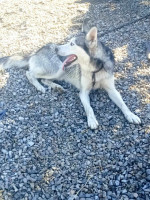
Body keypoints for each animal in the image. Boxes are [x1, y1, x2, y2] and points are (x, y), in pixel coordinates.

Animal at [0, 22, 141, 129]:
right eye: (69, 42)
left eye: (72, 44)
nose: (56, 49)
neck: (94, 70)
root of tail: (36, 52)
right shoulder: (83, 92)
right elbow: (89, 108)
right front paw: (92, 120)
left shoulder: (112, 90)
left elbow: (123, 104)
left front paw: (131, 115)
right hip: (57, 69)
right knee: (29, 73)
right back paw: (39, 86)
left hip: (60, 72)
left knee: (44, 79)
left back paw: (56, 87)